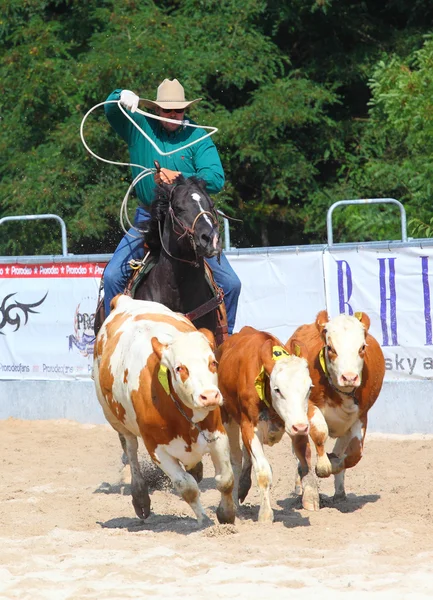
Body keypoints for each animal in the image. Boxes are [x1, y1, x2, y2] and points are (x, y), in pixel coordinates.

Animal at [93, 296, 235, 524]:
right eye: (180, 368)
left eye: (213, 362)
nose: (210, 396)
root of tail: (124, 300)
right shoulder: (157, 449)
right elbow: (187, 488)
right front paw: (205, 522)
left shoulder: (217, 434)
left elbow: (225, 479)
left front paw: (226, 515)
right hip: (115, 419)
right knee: (130, 449)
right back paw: (140, 498)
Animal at [216, 326, 318, 524]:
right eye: (278, 389)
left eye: (309, 388)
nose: (301, 427)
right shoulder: (249, 427)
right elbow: (263, 472)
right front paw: (265, 514)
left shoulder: (295, 422)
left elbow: (305, 460)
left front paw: (310, 497)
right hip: (227, 418)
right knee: (235, 459)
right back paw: (233, 504)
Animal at [286, 310, 384, 502]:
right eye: (330, 348)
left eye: (362, 347)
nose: (349, 377)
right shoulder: (310, 406)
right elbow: (320, 433)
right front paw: (324, 465)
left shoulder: (361, 416)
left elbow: (355, 453)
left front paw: (335, 462)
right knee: (299, 451)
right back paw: (301, 488)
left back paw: (339, 492)